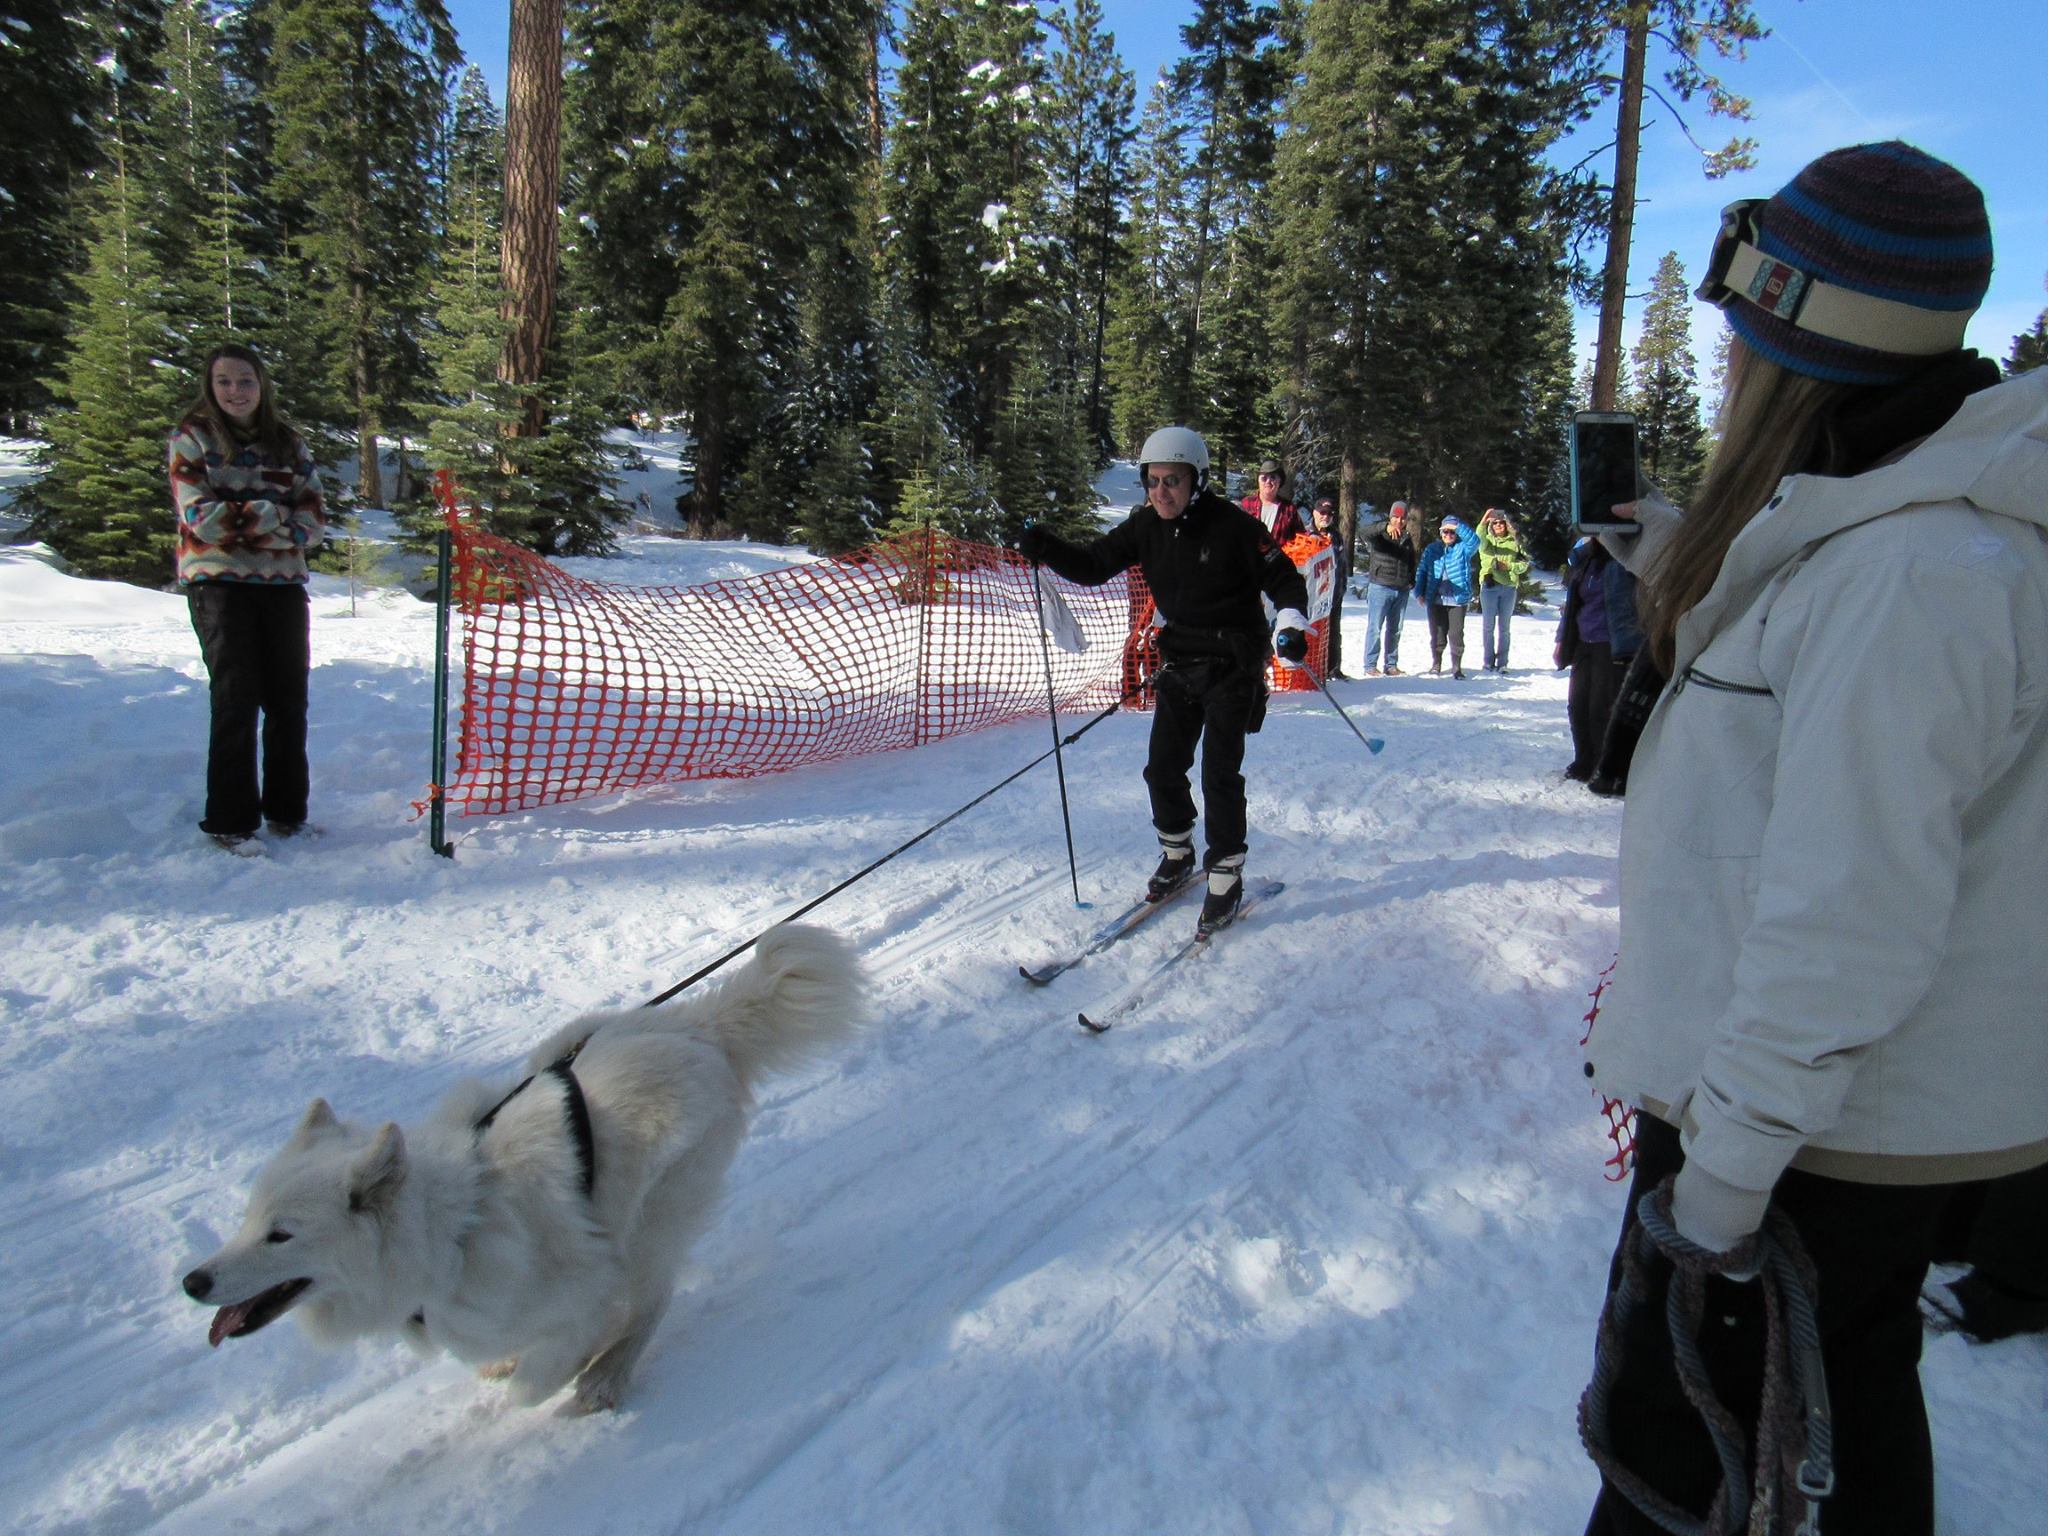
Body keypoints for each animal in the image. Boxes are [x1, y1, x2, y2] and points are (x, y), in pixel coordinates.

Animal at [184, 925, 864, 1417]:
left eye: (281, 1235)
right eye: (246, 1220)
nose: (191, 1282)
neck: (448, 1236)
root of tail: (699, 1026)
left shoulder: (583, 1287)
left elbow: (541, 1375)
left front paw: (577, 1364)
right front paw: (512, 1362)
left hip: (652, 1219)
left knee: (653, 1298)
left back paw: (607, 1377)